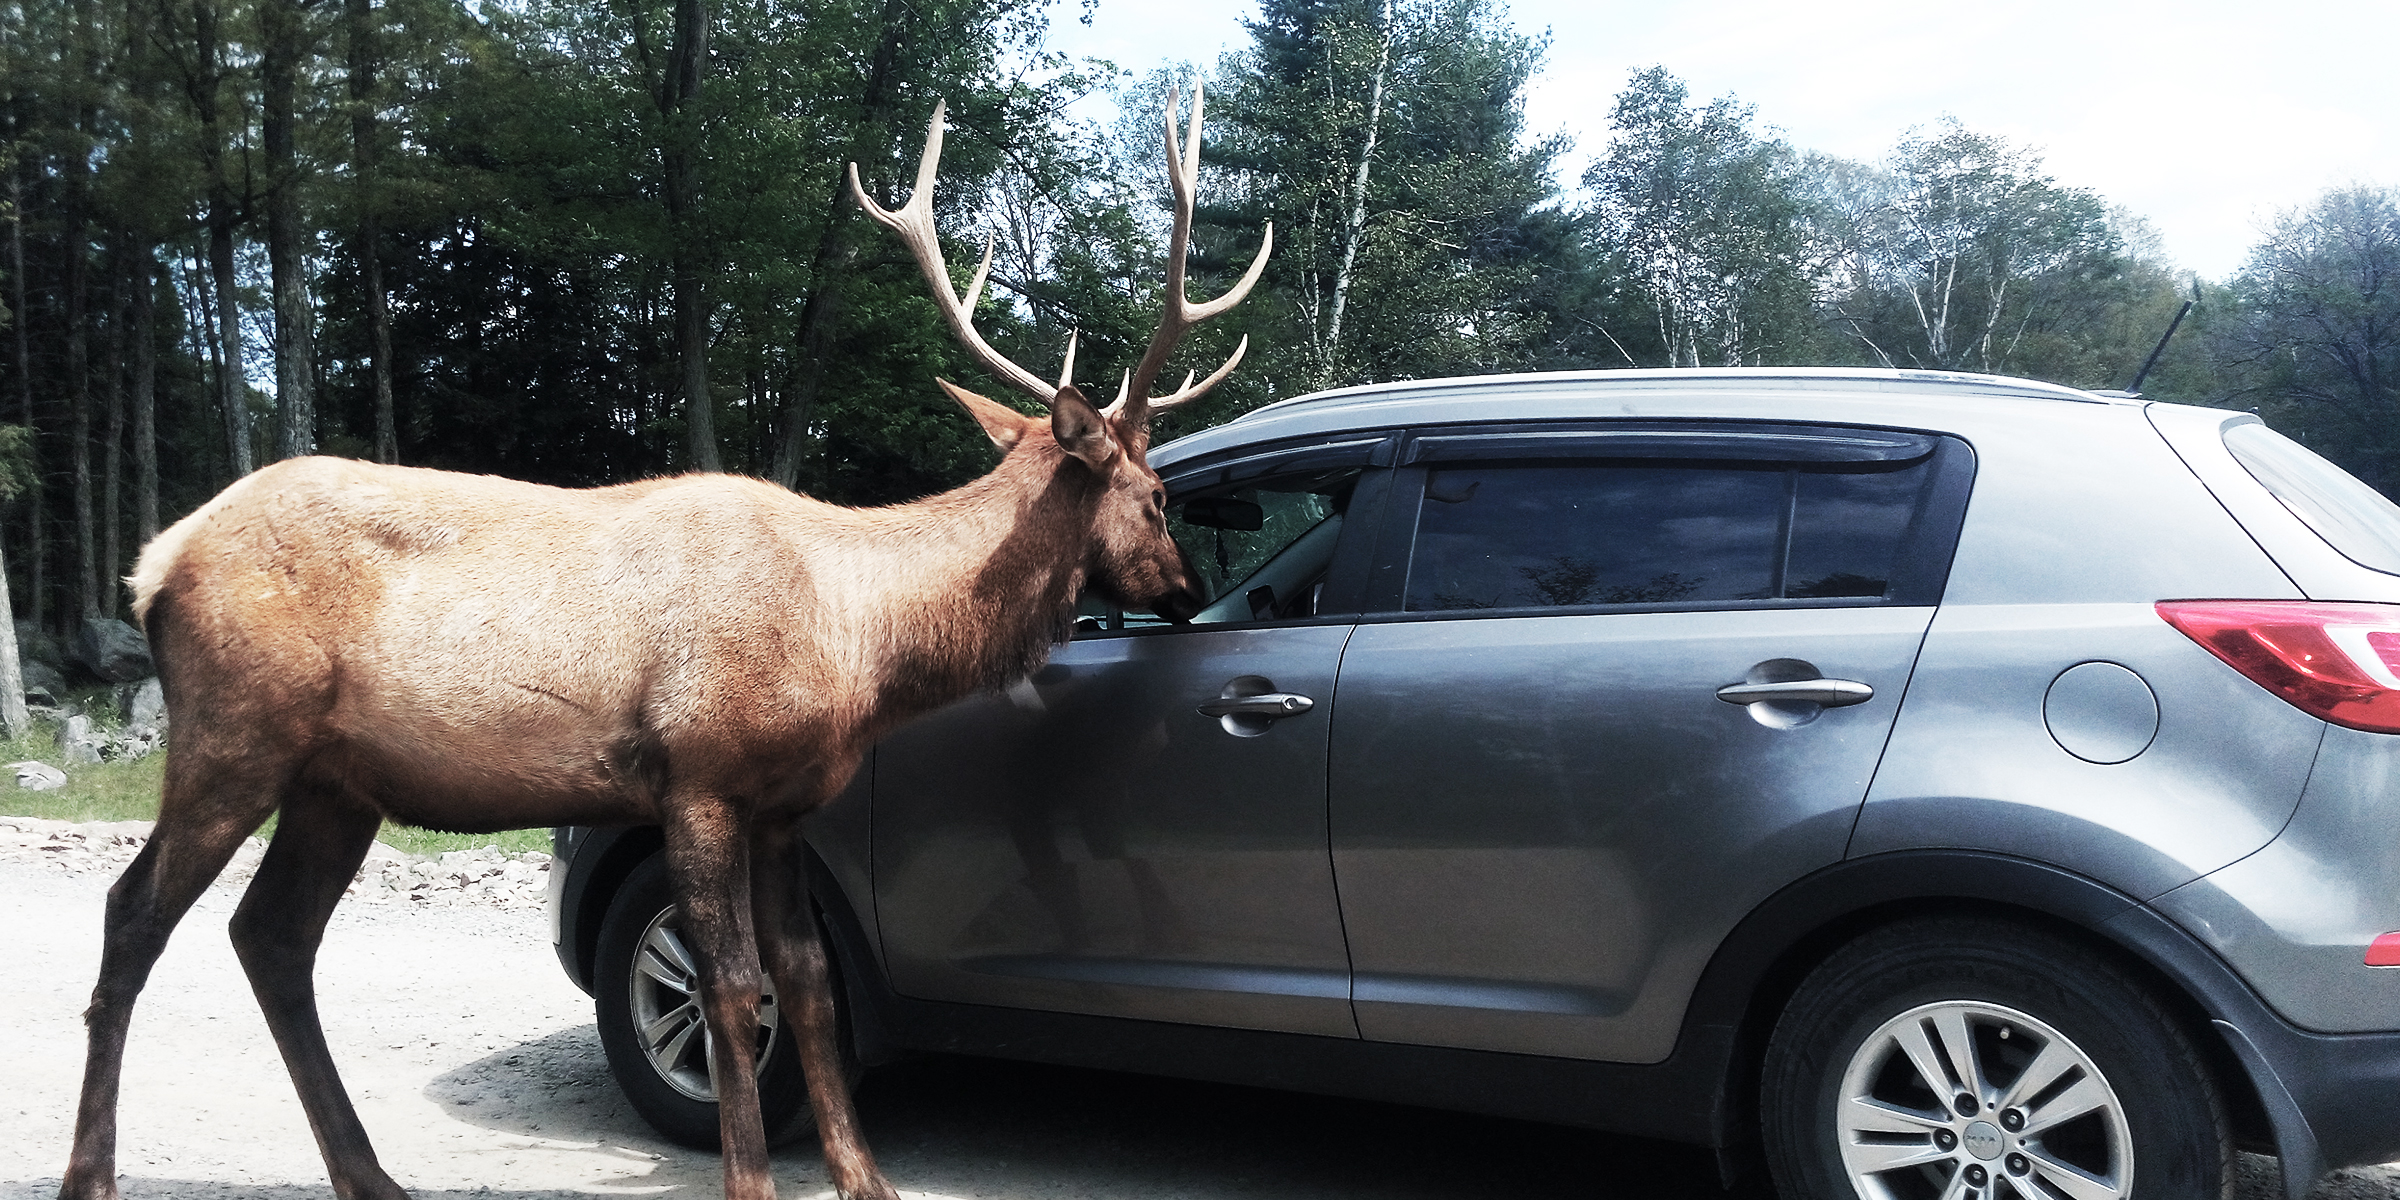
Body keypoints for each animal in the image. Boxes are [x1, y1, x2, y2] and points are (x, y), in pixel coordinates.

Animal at [56, 82, 1267, 1200]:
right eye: (1160, 496)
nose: (1186, 586)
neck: (856, 642)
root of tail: (154, 563)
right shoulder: (697, 775)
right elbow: (732, 989)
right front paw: (750, 1179)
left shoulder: (785, 805)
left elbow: (806, 980)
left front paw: (863, 1176)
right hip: (234, 733)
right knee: (131, 914)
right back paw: (94, 1174)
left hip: (336, 784)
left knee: (270, 937)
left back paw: (370, 1173)